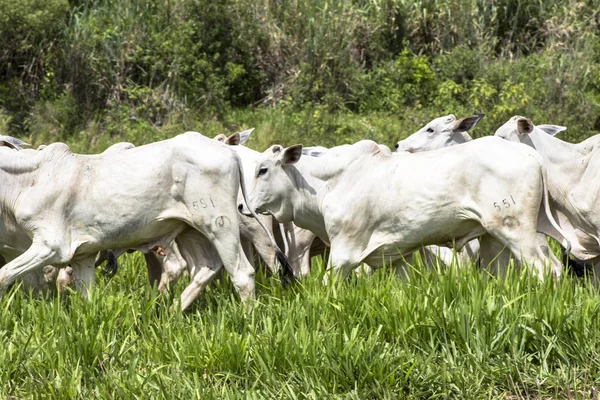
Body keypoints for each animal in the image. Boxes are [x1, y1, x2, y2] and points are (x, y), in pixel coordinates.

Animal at [0, 133, 290, 310]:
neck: (30, 179)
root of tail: (227, 149)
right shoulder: (82, 256)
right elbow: (86, 298)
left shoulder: (50, 247)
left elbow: (4, 275)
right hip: (190, 229)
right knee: (204, 267)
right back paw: (171, 311)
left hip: (220, 224)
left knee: (242, 272)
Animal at [243, 138, 568, 282]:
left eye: (262, 169)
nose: (241, 205)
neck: (327, 184)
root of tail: (527, 152)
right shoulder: (396, 255)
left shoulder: (344, 252)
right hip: (493, 236)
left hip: (515, 229)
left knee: (547, 268)